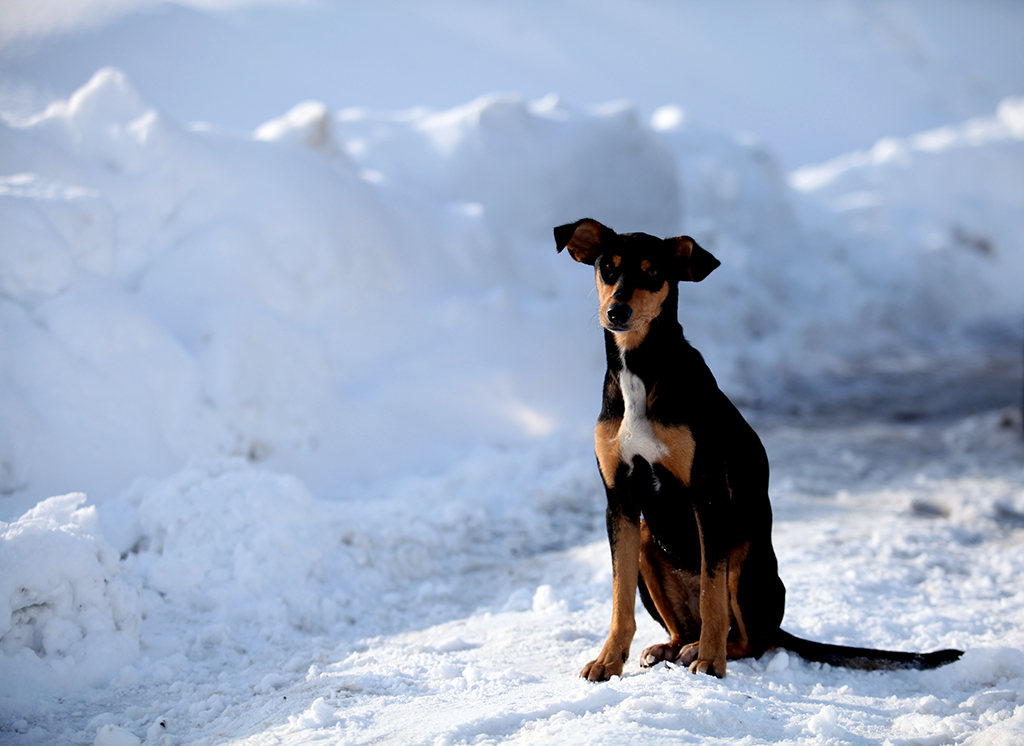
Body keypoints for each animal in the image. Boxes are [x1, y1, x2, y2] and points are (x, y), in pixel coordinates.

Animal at [557, 216, 962, 679]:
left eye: (653, 273)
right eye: (607, 269)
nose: (616, 312)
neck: (640, 370)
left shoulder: (708, 494)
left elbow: (712, 593)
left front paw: (710, 663)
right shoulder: (619, 502)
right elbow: (619, 598)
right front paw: (608, 661)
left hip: (745, 552)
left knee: (750, 638)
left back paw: (702, 650)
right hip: (646, 541)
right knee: (689, 627)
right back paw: (670, 648)